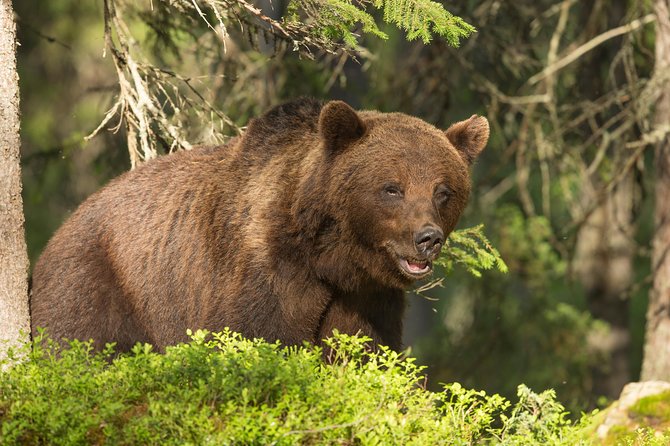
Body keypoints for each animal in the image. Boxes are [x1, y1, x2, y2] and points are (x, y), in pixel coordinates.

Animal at [30, 97, 488, 352]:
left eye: (443, 191)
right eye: (392, 188)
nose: (427, 238)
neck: (330, 256)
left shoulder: (368, 298)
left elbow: (364, 354)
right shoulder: (265, 271)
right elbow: (258, 338)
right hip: (102, 279)